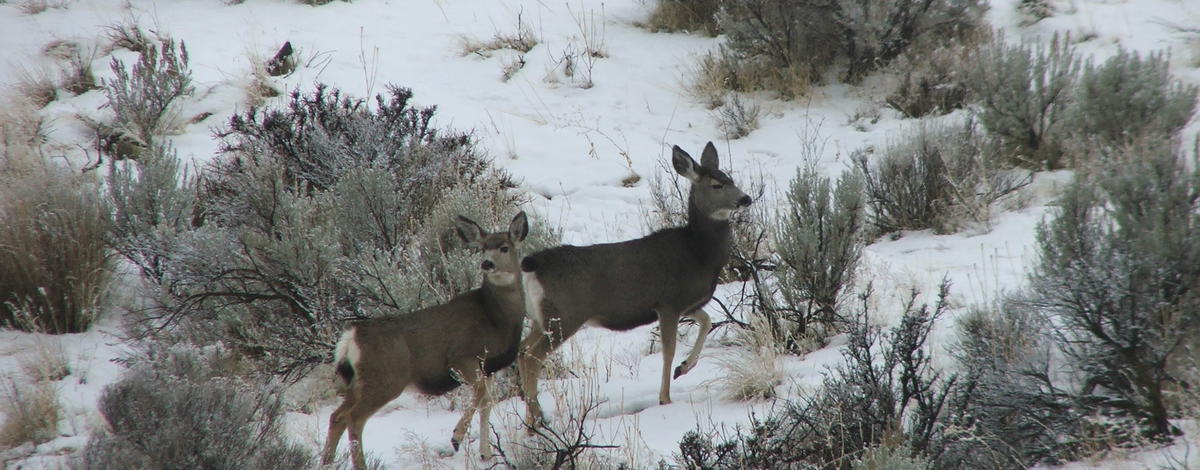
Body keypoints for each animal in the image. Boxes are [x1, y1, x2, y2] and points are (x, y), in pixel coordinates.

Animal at [321, 213, 528, 470]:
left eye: (504, 247)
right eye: (482, 249)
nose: (487, 264)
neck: (496, 317)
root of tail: (352, 337)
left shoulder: (489, 368)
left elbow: (487, 402)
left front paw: (486, 454)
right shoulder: (462, 357)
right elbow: (481, 395)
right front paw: (457, 437)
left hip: (359, 382)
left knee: (337, 416)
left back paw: (326, 463)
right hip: (385, 379)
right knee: (354, 418)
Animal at [516, 142, 748, 429]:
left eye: (731, 179)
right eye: (716, 185)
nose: (746, 199)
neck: (698, 253)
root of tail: (533, 264)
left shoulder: (687, 303)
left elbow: (706, 322)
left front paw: (683, 368)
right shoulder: (669, 303)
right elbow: (669, 350)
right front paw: (665, 398)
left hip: (541, 318)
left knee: (522, 350)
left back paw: (531, 418)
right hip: (565, 315)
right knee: (532, 357)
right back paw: (538, 419)